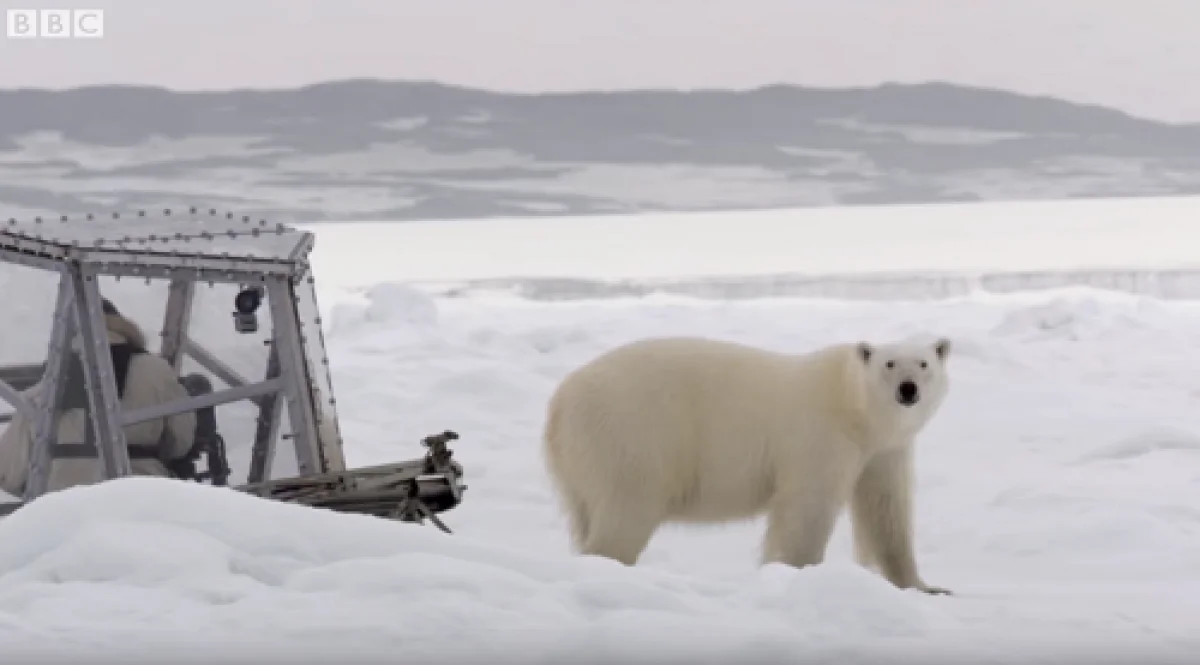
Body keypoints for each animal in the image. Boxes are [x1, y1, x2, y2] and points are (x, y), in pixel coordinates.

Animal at [547, 333, 955, 592]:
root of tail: (560, 401)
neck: (853, 408)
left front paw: (925, 586)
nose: (907, 389)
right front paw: (794, 573)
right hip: (632, 436)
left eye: (924, 363)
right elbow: (807, 508)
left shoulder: (884, 450)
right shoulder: (819, 436)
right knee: (626, 510)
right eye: (890, 363)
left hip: (584, 462)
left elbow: (886, 510)